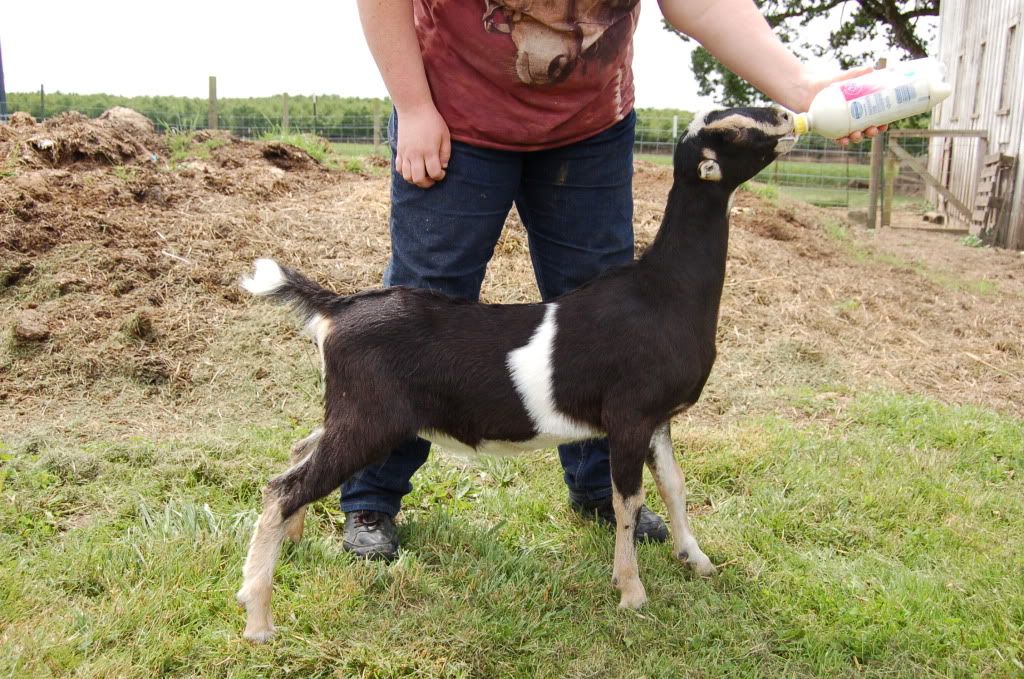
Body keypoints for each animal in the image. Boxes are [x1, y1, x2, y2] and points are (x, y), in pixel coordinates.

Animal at [236, 106, 797, 642]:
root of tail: (336, 308)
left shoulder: (659, 418)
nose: (790, 117)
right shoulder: (630, 417)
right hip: (369, 422)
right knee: (282, 488)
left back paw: (293, 541)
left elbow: (675, 487)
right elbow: (628, 502)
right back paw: (258, 618)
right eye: (734, 131)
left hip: (352, 412)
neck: (663, 292)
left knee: (297, 452)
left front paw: (696, 560)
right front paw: (632, 593)